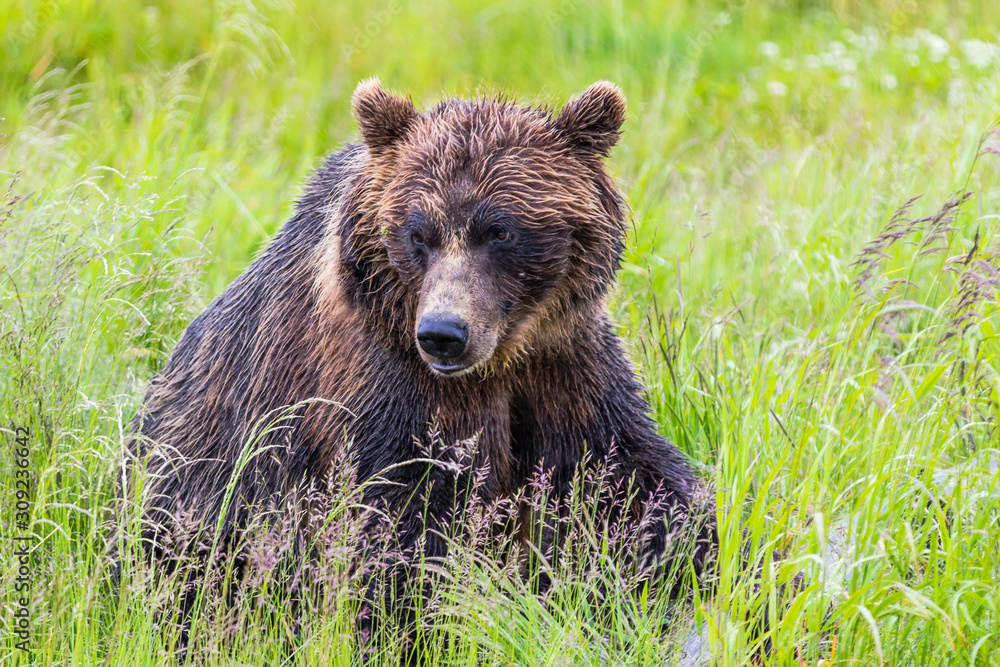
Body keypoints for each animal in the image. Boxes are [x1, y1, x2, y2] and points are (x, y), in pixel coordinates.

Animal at [125, 78, 718, 651]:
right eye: (418, 234)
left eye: (499, 230)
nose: (443, 335)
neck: (499, 360)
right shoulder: (382, 386)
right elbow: (400, 532)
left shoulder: (564, 366)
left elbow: (627, 479)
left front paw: (698, 556)